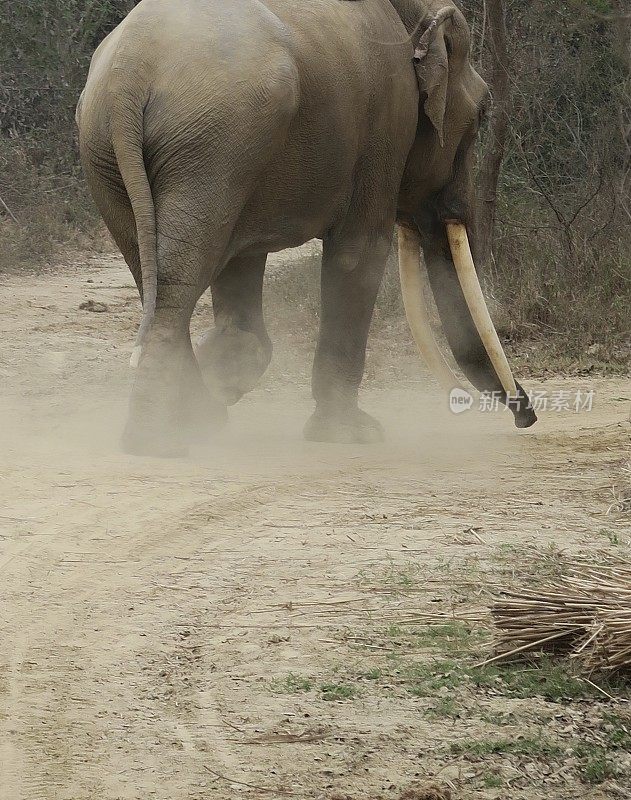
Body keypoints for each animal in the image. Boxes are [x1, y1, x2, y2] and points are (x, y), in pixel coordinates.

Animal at [75, 0, 540, 456]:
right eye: (482, 113)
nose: (528, 416)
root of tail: (128, 76)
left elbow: (242, 260)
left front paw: (221, 376)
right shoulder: (387, 119)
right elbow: (360, 252)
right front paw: (352, 435)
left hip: (124, 152)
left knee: (156, 272)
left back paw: (188, 424)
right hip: (210, 146)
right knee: (177, 278)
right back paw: (163, 439)